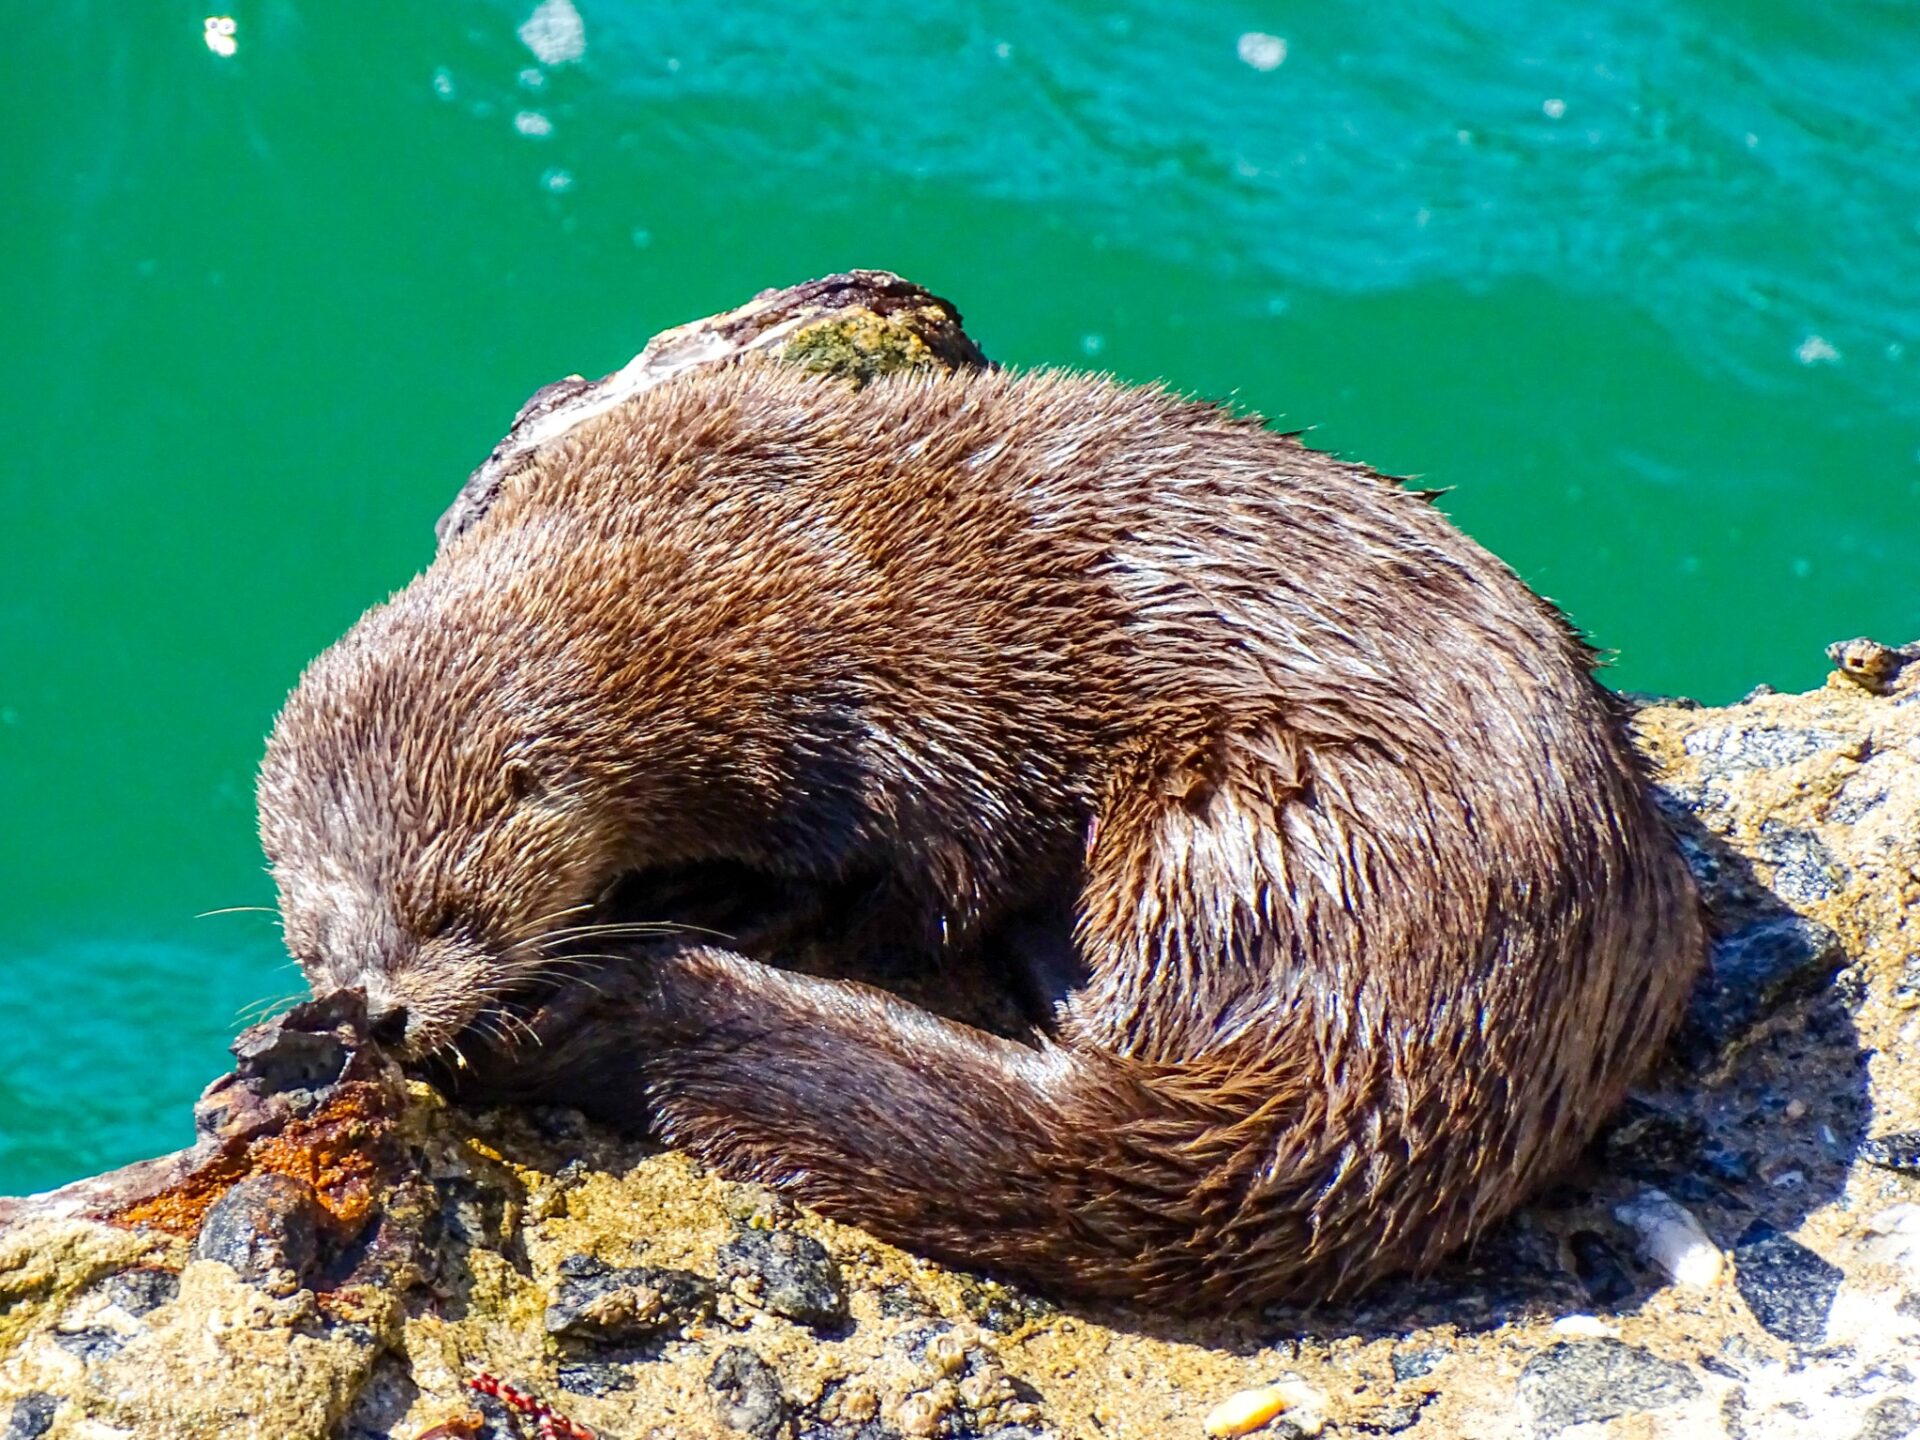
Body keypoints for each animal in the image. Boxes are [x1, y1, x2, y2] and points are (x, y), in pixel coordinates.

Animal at [257, 303, 1701, 1312]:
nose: (375, 1008)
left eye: (452, 909)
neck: (710, 574)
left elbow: (915, 884)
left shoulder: (905, 721)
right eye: (319, 931)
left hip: (1251, 818)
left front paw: (713, 906)